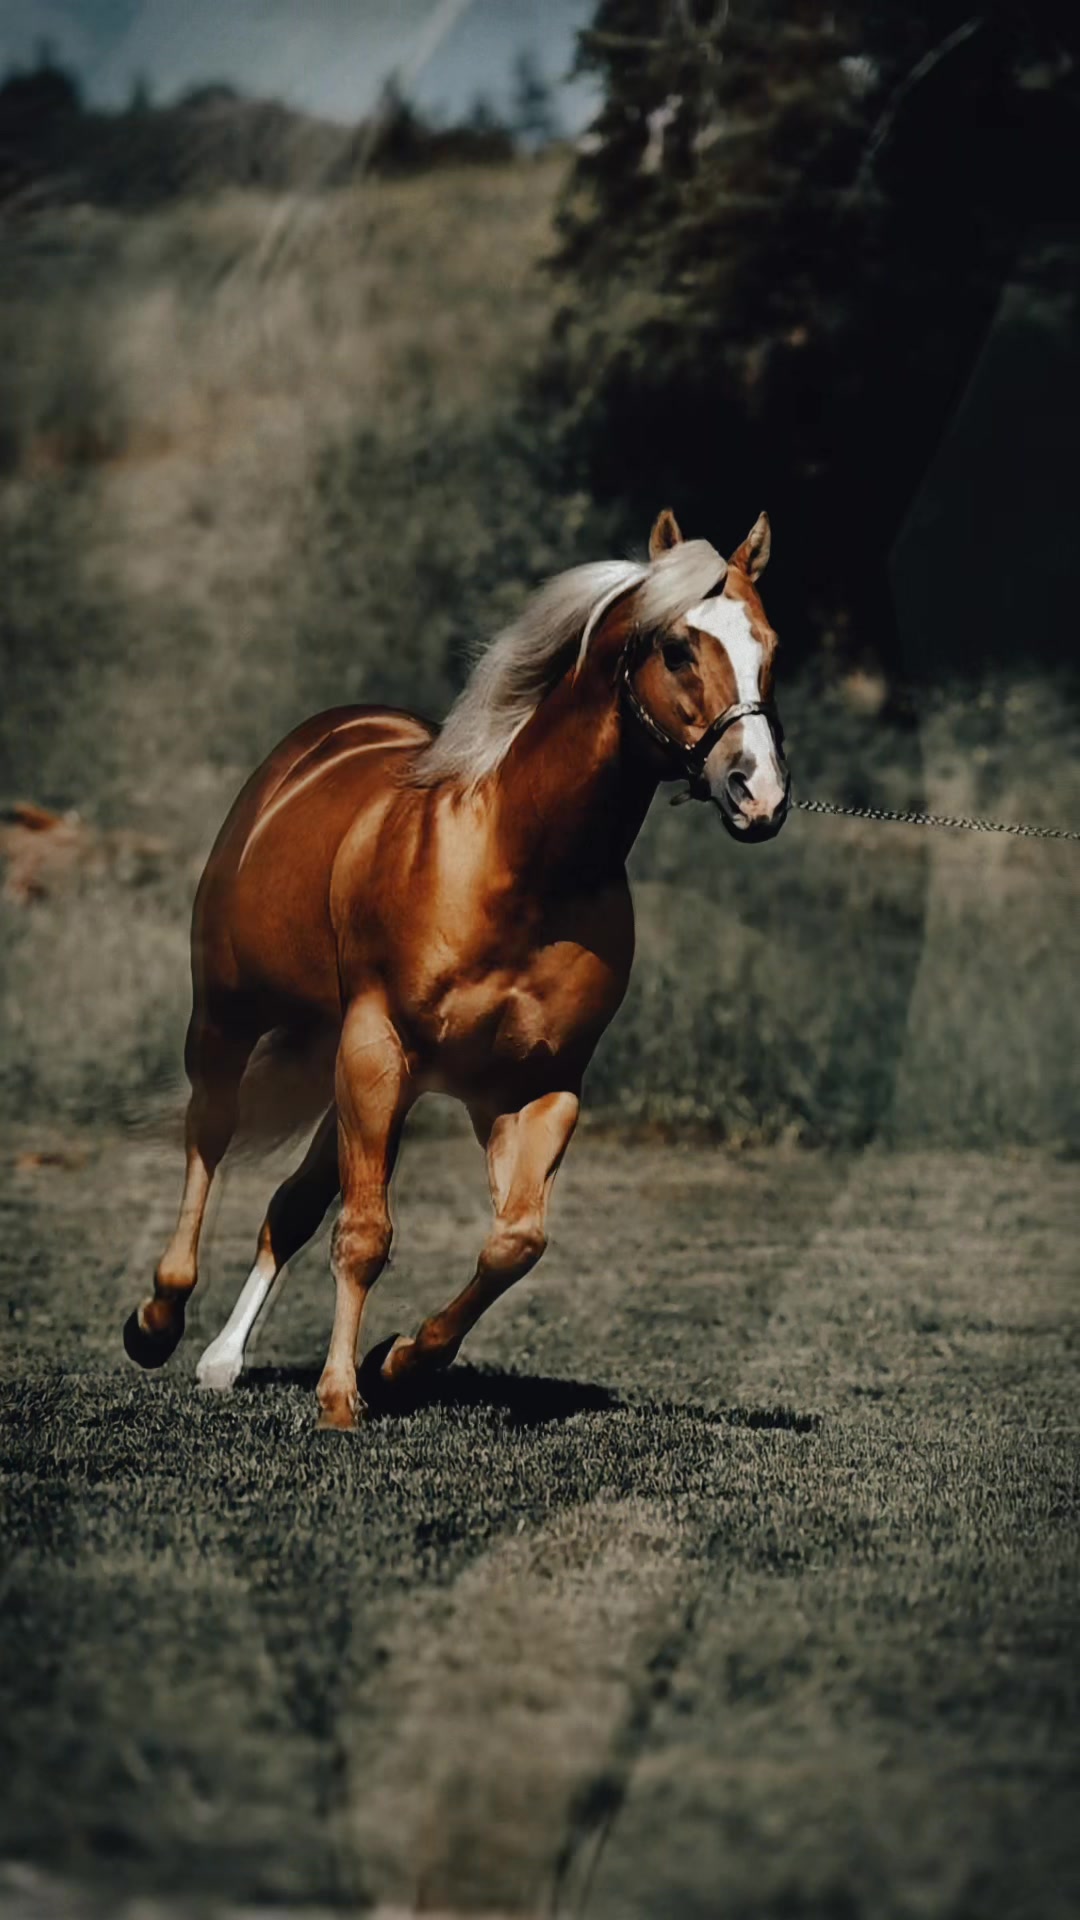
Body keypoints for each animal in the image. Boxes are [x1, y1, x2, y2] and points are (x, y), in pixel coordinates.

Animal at [123, 508, 789, 1429]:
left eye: (770, 646)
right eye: (679, 648)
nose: (758, 794)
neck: (519, 867)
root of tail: (317, 744)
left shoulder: (530, 1088)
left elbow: (515, 1241)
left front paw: (398, 1362)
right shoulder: (377, 1050)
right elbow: (367, 1234)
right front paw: (340, 1397)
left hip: (353, 1067)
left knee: (291, 1205)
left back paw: (223, 1360)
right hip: (234, 1021)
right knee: (210, 1139)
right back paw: (158, 1319)